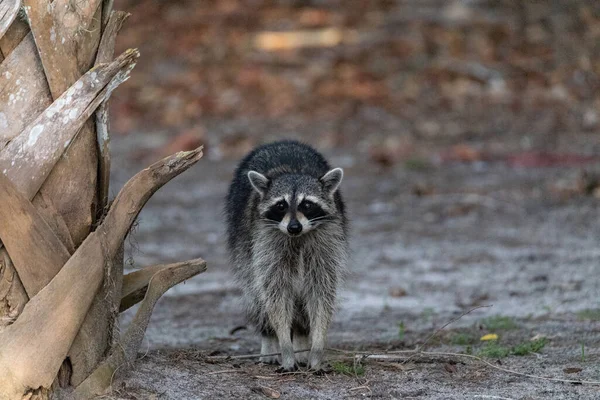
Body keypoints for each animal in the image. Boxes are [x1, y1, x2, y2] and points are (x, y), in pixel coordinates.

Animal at [225, 141, 346, 372]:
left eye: (307, 205)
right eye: (281, 205)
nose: (293, 227)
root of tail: (280, 142)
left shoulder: (326, 243)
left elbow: (321, 292)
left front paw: (317, 347)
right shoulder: (266, 243)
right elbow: (275, 294)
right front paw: (284, 345)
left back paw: (300, 338)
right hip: (243, 246)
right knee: (256, 295)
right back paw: (269, 340)